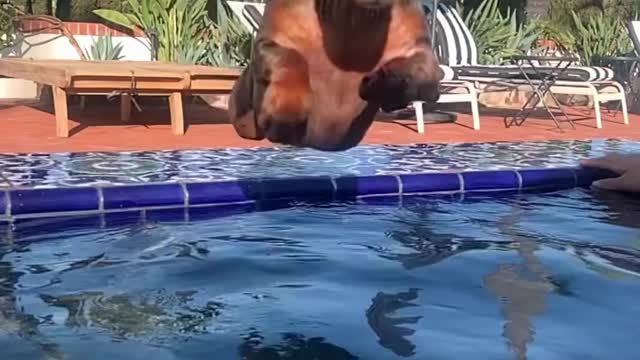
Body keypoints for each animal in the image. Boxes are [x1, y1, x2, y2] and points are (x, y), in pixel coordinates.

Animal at [228, 0, 442, 151]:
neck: (349, 16)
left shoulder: (420, 50)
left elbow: (425, 75)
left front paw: (380, 84)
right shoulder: (270, 42)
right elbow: (291, 57)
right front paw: (286, 106)